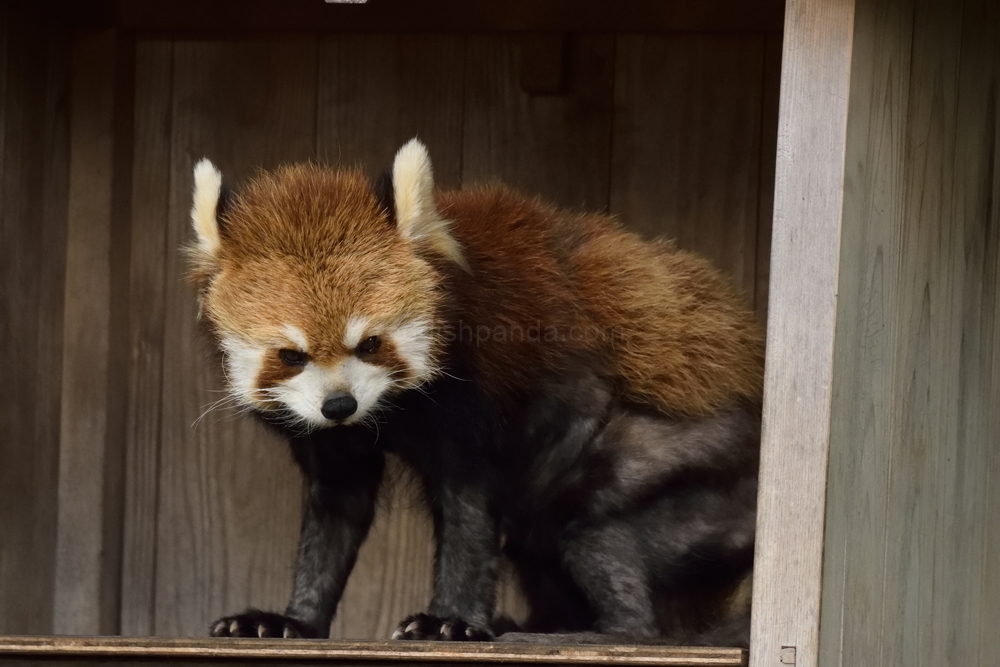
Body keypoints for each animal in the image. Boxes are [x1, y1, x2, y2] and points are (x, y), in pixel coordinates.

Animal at [189, 138, 764, 644]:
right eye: (292, 354)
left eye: (371, 343)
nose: (340, 405)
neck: (393, 409)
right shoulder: (328, 433)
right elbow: (336, 510)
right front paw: (293, 620)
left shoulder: (476, 395)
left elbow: (469, 511)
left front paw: (450, 621)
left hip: (686, 468)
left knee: (589, 516)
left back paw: (588, 632)